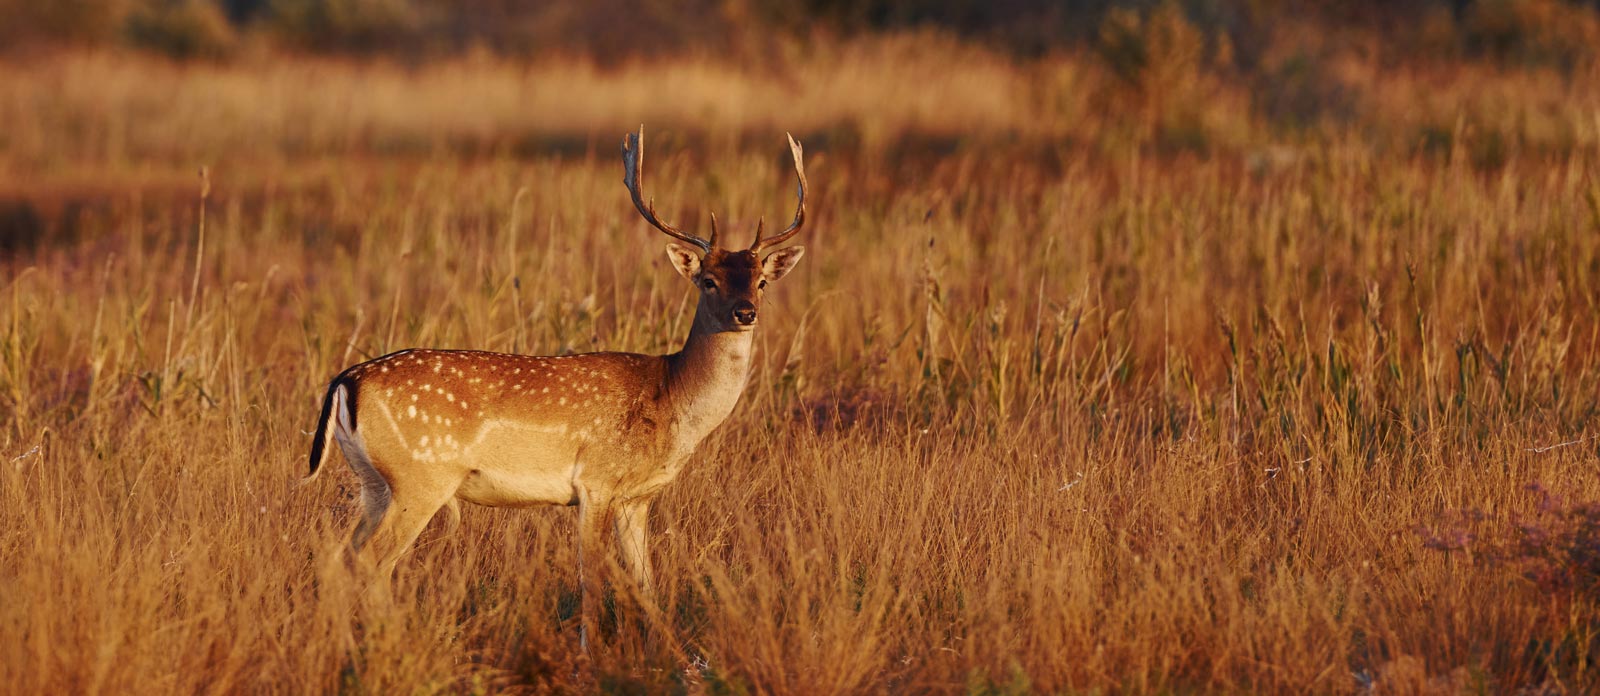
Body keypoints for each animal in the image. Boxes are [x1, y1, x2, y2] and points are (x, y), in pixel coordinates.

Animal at [304, 126, 806, 649]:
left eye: (762, 281)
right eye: (708, 280)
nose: (745, 312)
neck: (670, 399)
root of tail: (345, 381)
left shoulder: (636, 499)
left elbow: (646, 584)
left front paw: (673, 652)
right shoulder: (596, 481)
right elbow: (592, 579)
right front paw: (589, 654)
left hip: (373, 481)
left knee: (339, 558)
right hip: (420, 477)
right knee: (371, 561)